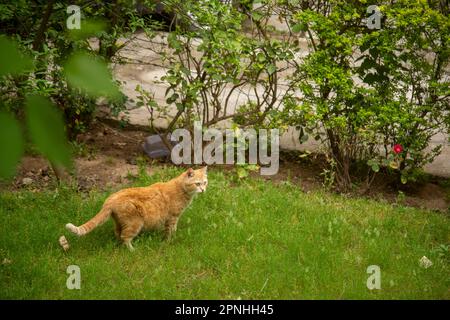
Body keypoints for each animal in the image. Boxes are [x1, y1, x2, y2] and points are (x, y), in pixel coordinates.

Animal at [66, 168, 208, 250]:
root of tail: (109, 199)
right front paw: (169, 241)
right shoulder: (173, 217)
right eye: (197, 183)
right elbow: (170, 231)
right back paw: (132, 250)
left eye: (205, 182)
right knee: (125, 237)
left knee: (118, 233)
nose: (203, 190)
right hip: (135, 223)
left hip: (120, 222)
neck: (181, 189)